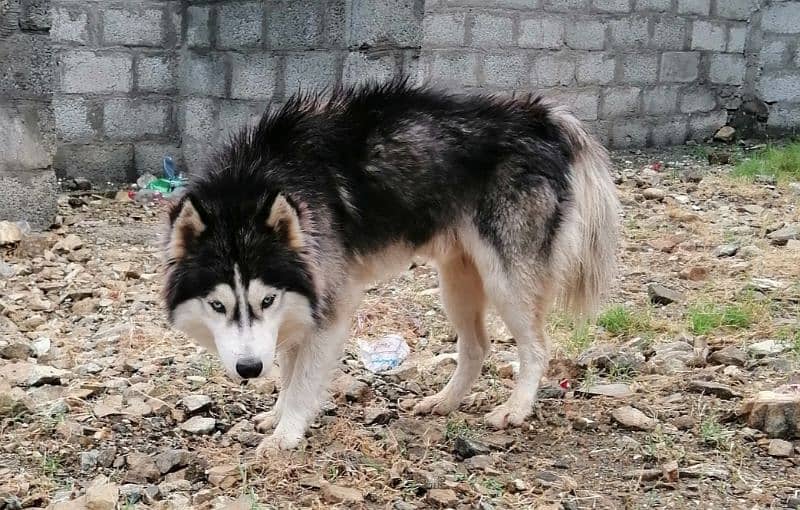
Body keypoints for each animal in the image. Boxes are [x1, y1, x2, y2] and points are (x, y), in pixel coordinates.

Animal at [162, 78, 620, 454]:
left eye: (266, 300)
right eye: (217, 306)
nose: (249, 369)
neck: (262, 179)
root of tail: (539, 116)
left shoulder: (326, 305)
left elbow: (302, 380)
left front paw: (285, 434)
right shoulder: (303, 299)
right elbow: (289, 369)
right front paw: (276, 415)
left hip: (506, 282)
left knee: (537, 347)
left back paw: (517, 408)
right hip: (456, 283)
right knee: (477, 348)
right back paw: (445, 401)